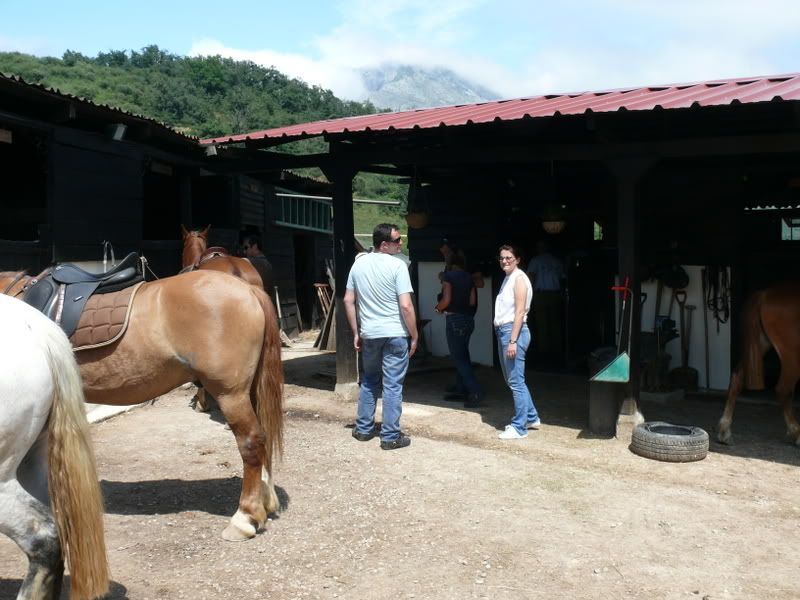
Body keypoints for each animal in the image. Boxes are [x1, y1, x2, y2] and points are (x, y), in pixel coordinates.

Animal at [720, 282, 800, 446]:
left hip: (760, 345)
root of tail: (765, 295)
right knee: (783, 389)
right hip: (792, 356)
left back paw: (725, 432)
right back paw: (796, 434)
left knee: (737, 378)